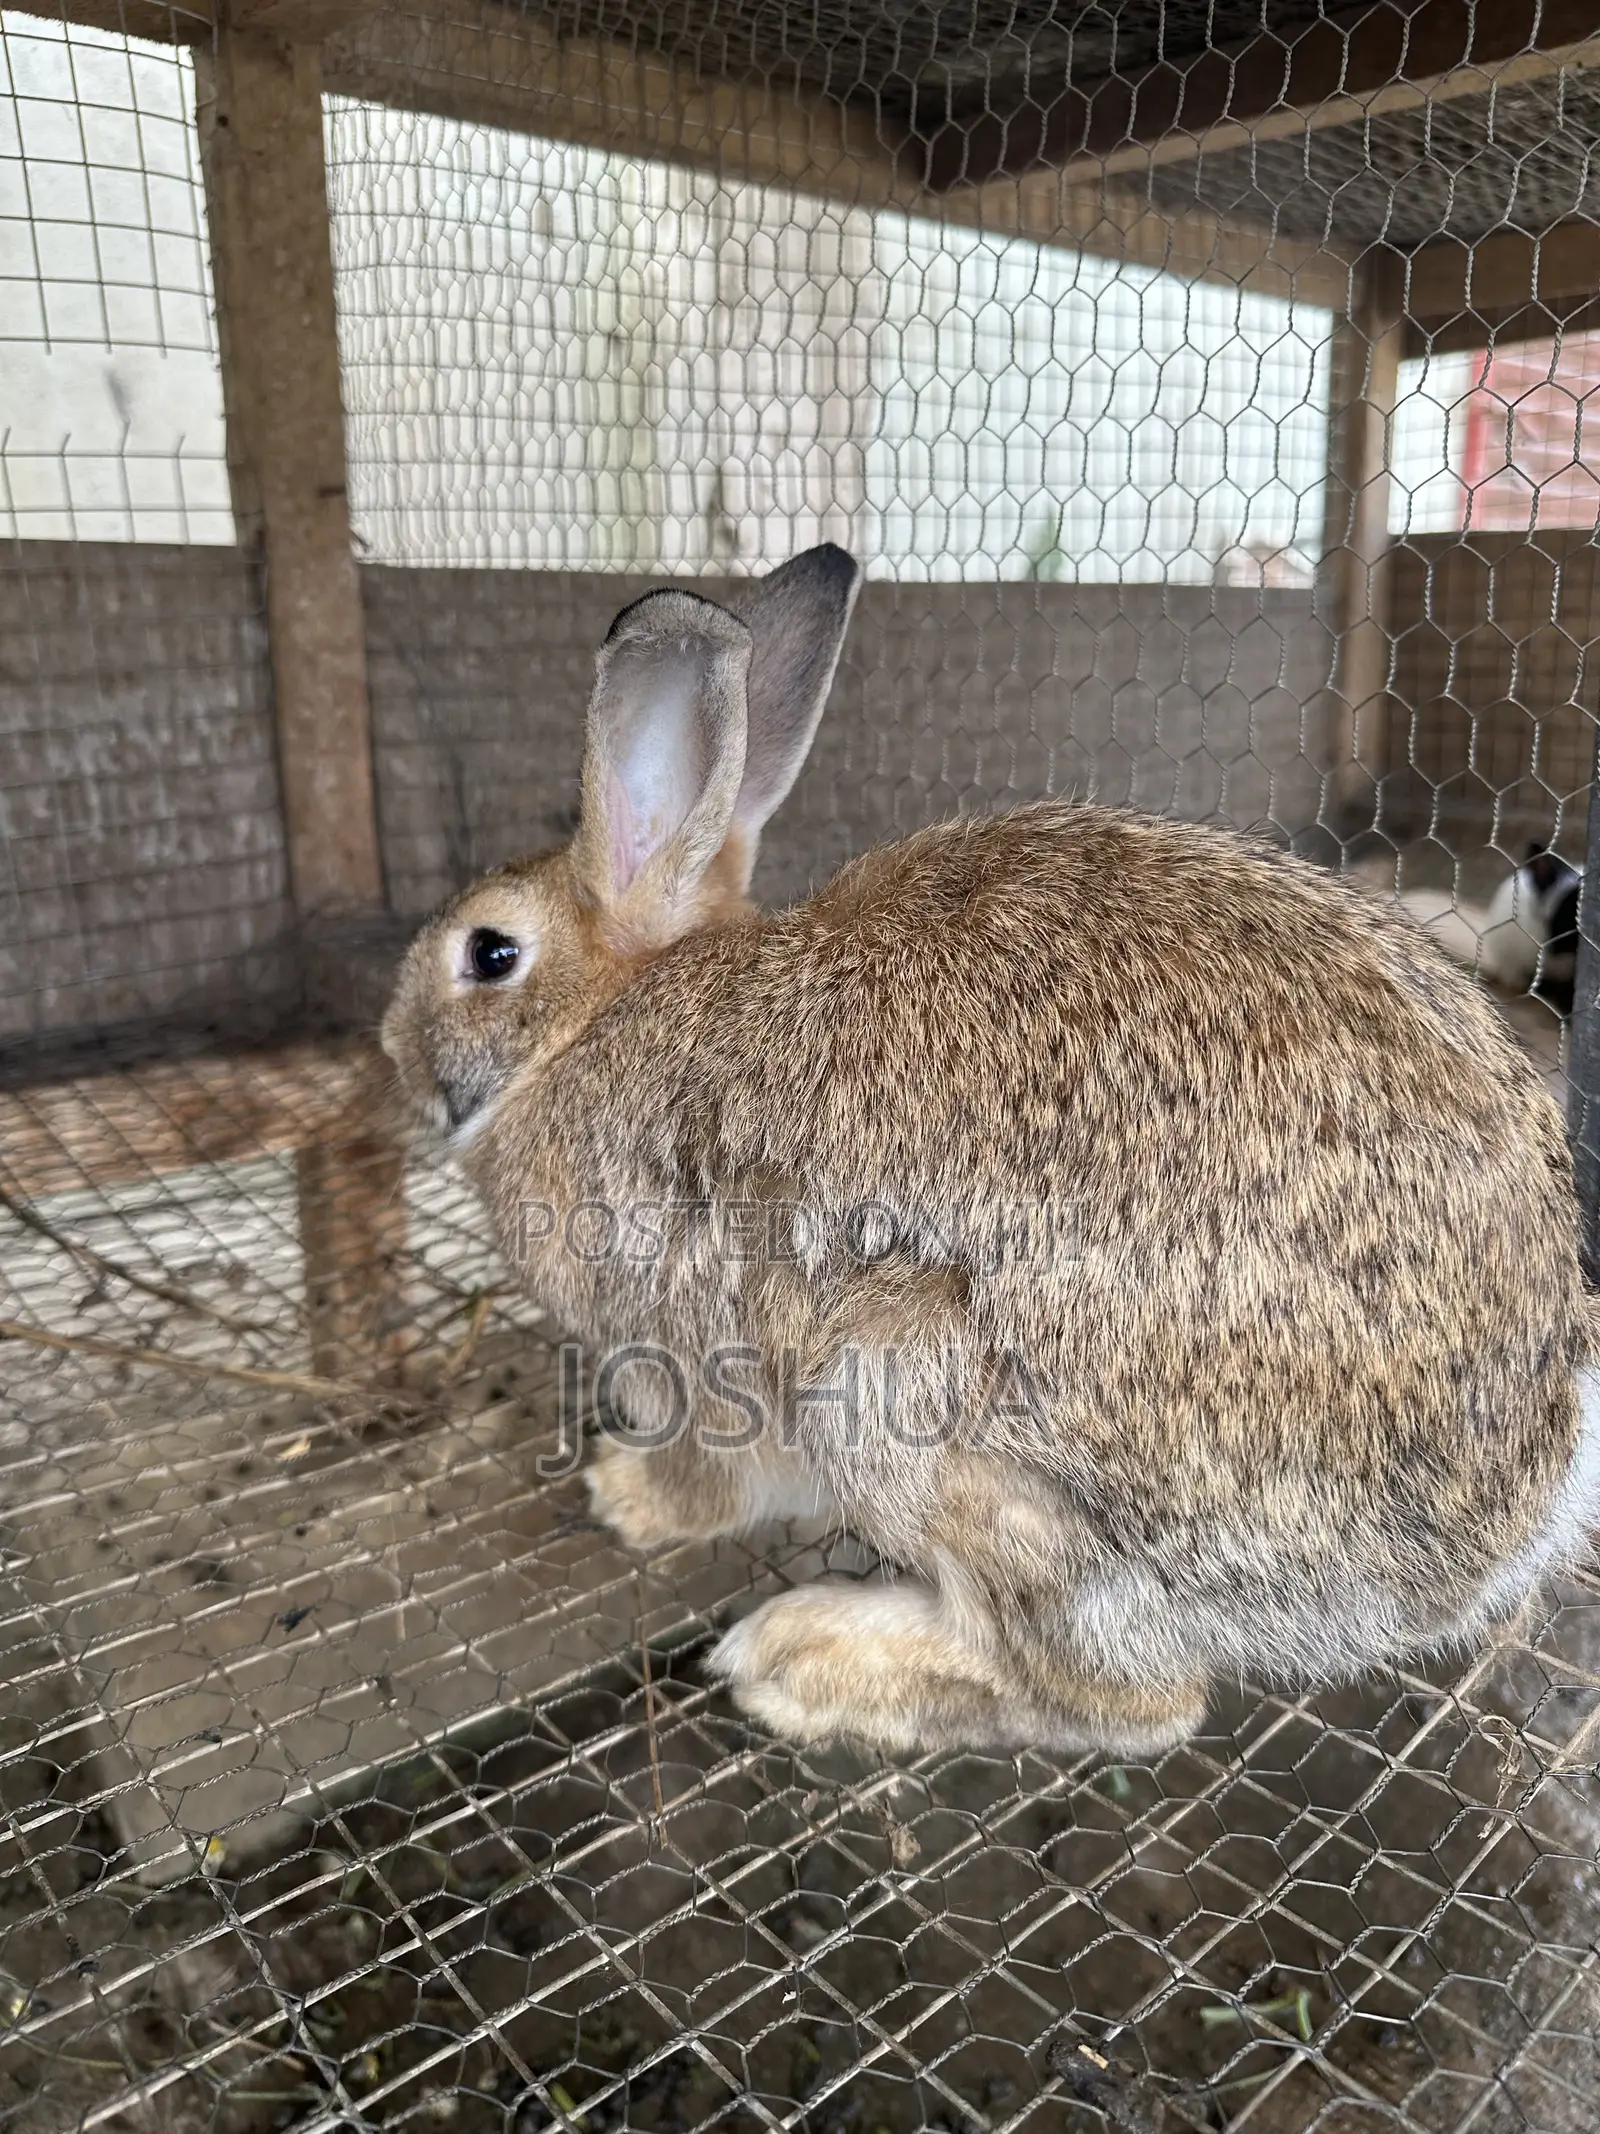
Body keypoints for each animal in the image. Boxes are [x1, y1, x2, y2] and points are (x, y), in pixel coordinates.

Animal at [382, 543, 1600, 1759]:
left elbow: (715, 1477)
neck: (593, 1020)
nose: (393, 1043)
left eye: (488, 953)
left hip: (904, 1397)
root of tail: (1505, 1523)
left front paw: (629, 1494)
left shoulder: (692, 1347)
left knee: (1128, 1699)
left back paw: (807, 1660)